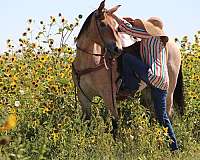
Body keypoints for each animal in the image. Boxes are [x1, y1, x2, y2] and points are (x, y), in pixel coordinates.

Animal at [72, 0, 184, 135]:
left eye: (116, 27)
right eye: (102, 24)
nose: (118, 50)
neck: (91, 63)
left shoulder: (109, 98)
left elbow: (115, 126)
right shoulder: (84, 98)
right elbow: (87, 123)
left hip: (168, 92)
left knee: (167, 117)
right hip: (149, 92)